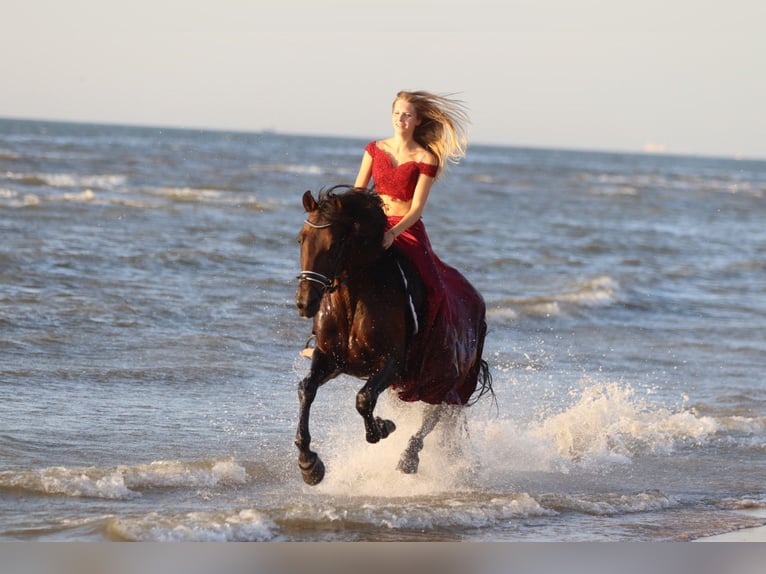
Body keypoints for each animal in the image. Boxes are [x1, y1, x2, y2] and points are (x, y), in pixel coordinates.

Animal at [294, 186, 492, 486]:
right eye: (300, 239)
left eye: (335, 244)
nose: (305, 303)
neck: (353, 300)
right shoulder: (331, 359)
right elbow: (307, 389)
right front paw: (309, 465)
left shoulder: (392, 363)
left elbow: (363, 399)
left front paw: (383, 428)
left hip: (446, 378)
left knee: (434, 415)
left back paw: (410, 459)